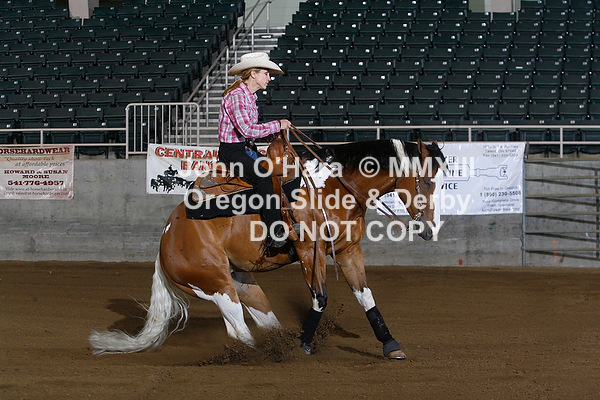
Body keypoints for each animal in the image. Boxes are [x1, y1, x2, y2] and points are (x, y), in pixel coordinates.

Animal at [89, 138, 445, 359]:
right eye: (428, 182)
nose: (430, 229)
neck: (329, 189)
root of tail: (167, 237)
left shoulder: (348, 251)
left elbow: (367, 298)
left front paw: (391, 345)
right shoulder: (310, 253)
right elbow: (320, 299)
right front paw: (303, 347)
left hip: (243, 283)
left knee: (259, 322)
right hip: (217, 286)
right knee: (238, 330)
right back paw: (268, 354)